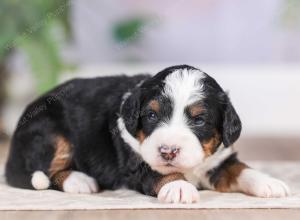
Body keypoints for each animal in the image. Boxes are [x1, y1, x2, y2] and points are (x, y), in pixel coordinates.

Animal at [5, 65, 290, 203]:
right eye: (151, 115)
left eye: (199, 120)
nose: (168, 151)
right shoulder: (135, 162)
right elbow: (158, 171)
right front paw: (178, 186)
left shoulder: (219, 160)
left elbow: (239, 168)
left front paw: (269, 182)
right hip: (50, 132)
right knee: (41, 171)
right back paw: (79, 181)